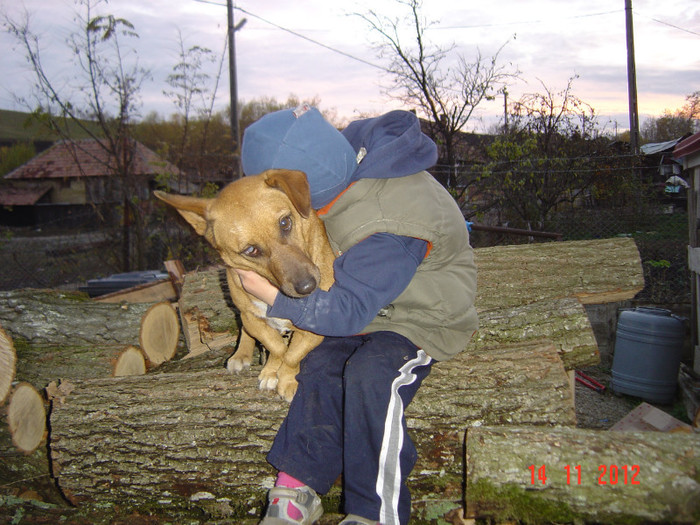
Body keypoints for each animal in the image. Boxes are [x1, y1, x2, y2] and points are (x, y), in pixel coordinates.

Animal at [154, 170, 334, 400]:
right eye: (250, 250)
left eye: (285, 222)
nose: (308, 287)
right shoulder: (252, 318)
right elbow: (277, 348)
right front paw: (272, 371)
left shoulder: (316, 330)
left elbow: (293, 354)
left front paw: (286, 378)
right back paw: (241, 354)